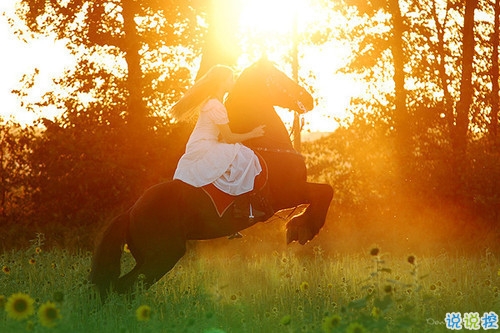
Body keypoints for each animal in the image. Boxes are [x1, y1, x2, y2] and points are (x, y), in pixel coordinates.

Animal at [90, 57, 334, 298]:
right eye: (276, 76)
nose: (308, 99)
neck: (271, 147)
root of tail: (130, 213)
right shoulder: (289, 192)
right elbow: (325, 192)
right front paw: (302, 229)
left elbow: (324, 193)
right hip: (162, 256)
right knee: (125, 287)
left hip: (151, 258)